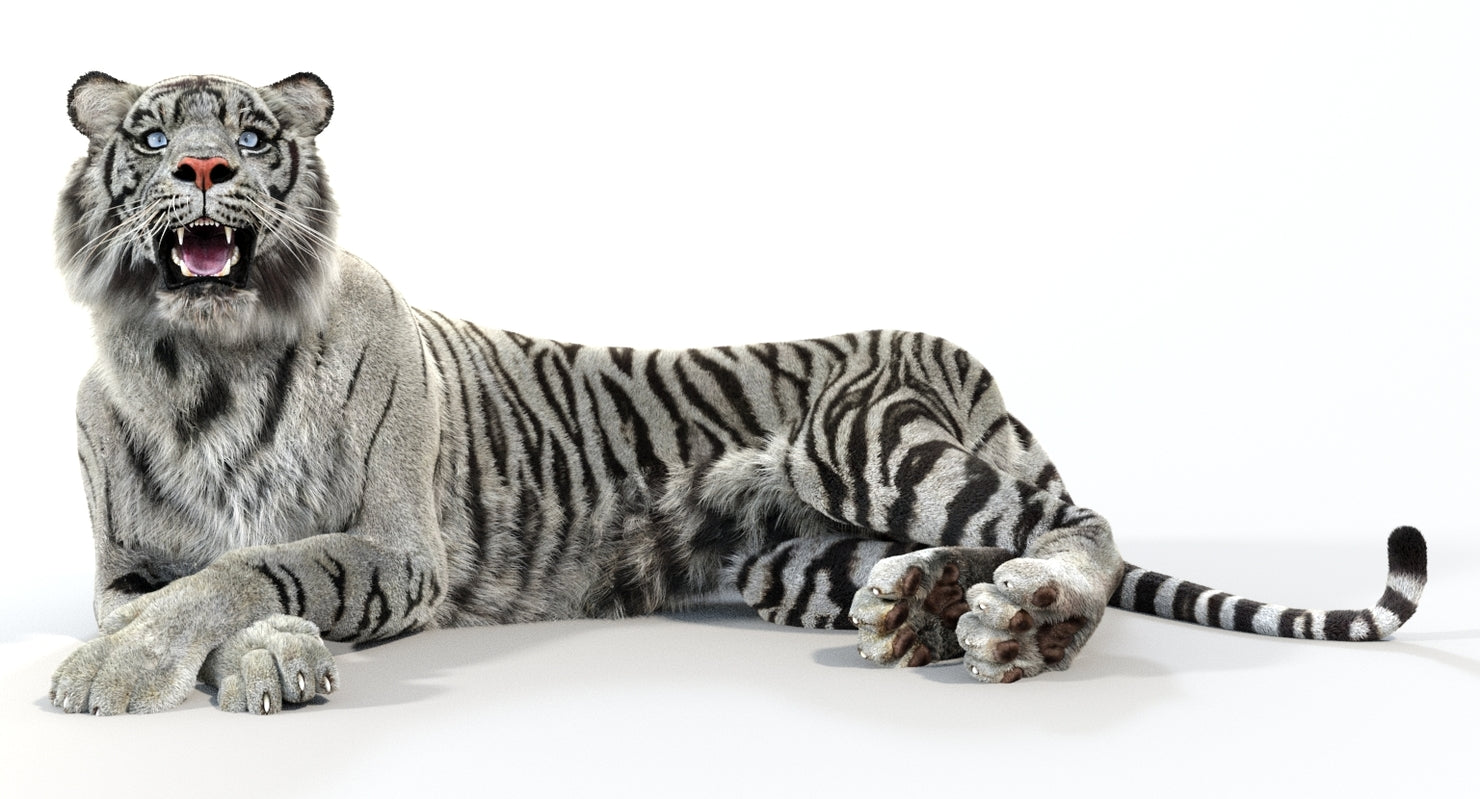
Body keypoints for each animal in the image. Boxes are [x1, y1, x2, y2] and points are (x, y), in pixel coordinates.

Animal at [49, 72, 1428, 715]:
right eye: (151, 135)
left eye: (254, 135)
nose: (207, 169)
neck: (207, 364)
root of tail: (956, 352)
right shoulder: (131, 556)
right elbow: (204, 582)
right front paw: (245, 662)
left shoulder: (399, 543)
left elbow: (258, 567)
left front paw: (118, 674)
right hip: (784, 553)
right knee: (949, 553)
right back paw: (920, 607)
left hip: (864, 440)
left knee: (1075, 524)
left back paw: (1024, 623)